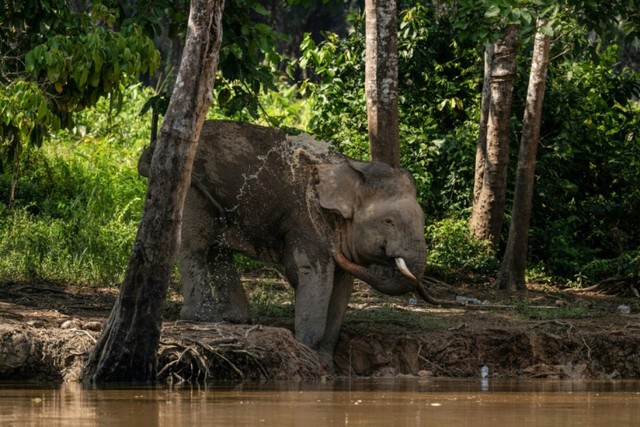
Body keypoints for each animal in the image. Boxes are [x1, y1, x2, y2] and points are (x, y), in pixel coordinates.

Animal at [138, 120, 427, 365]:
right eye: (388, 221)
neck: (353, 168)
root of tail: (151, 151)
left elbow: (341, 287)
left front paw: (324, 359)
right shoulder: (305, 219)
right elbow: (312, 274)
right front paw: (307, 351)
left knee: (217, 247)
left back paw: (239, 319)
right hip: (191, 187)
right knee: (196, 244)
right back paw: (203, 317)